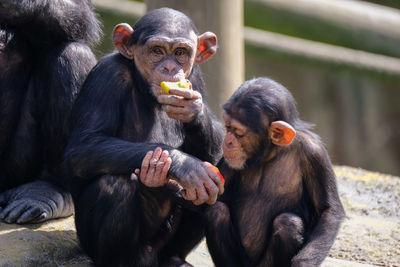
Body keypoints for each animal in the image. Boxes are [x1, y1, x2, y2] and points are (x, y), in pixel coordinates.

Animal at [64, 7, 223, 266]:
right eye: (157, 51)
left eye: (180, 52)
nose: (169, 68)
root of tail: (148, 256)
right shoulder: (106, 76)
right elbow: (83, 147)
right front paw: (186, 165)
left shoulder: (196, 77)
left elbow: (215, 153)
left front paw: (193, 110)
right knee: (114, 186)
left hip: (161, 246)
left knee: (217, 189)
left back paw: (174, 259)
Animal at [205, 78, 346, 267]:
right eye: (227, 127)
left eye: (238, 132)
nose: (227, 142)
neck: (272, 152)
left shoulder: (315, 154)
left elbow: (328, 210)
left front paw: (303, 263)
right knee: (217, 212)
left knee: (288, 224)